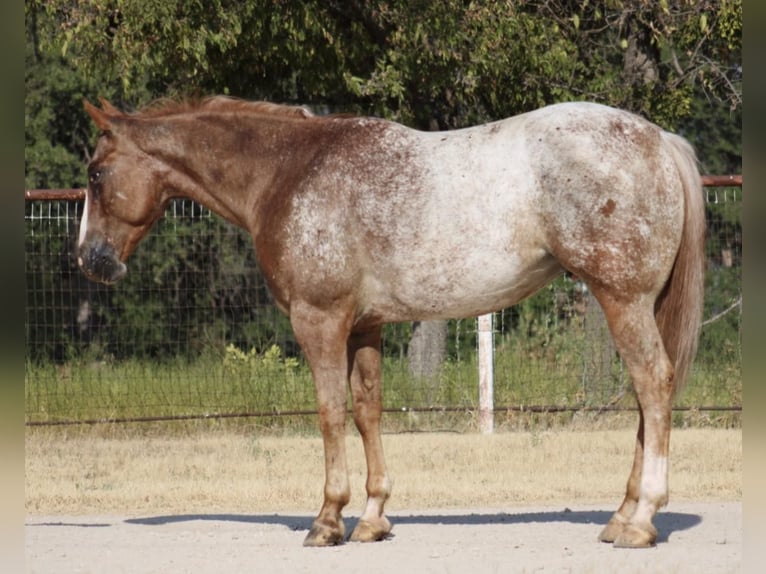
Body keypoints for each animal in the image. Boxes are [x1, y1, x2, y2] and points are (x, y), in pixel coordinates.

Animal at [79, 97, 708, 552]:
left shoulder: (320, 320)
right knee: (648, 395)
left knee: (653, 383)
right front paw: (373, 518)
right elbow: (367, 411)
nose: (89, 259)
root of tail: (657, 139)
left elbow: (330, 413)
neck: (290, 174)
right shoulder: (365, 327)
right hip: (638, 304)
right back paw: (621, 514)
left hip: (623, 300)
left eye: (96, 173)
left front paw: (328, 519)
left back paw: (641, 520)